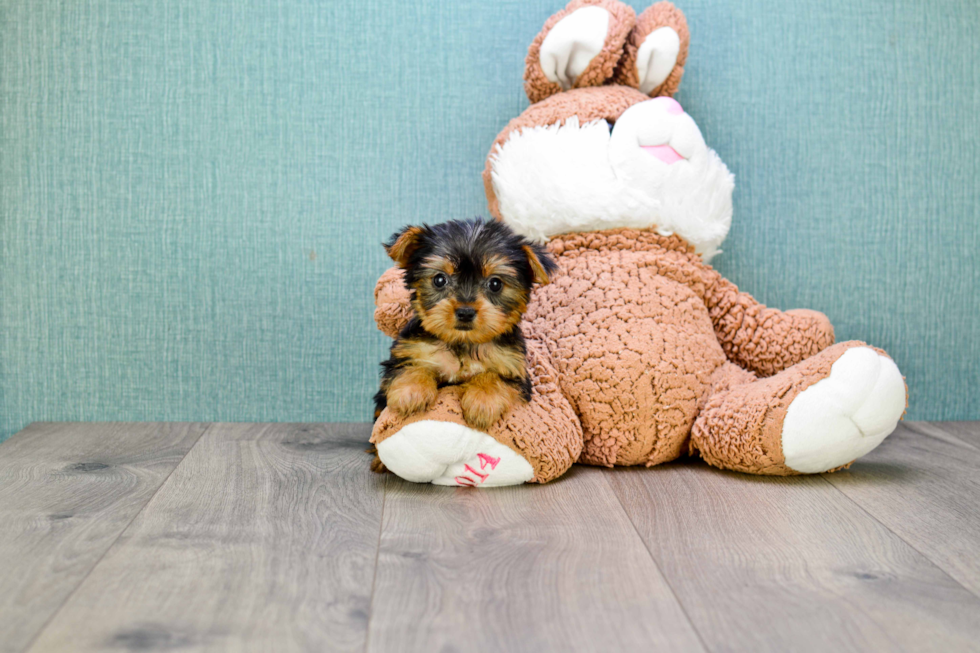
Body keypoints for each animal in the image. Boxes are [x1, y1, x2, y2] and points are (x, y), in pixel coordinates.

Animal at [376, 218, 556, 432]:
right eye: (439, 279)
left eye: (495, 284)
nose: (465, 312)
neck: (463, 342)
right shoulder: (409, 351)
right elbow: (410, 366)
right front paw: (412, 391)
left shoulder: (513, 369)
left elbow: (496, 376)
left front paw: (483, 401)